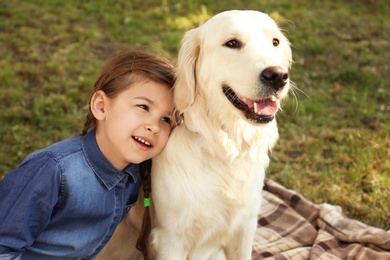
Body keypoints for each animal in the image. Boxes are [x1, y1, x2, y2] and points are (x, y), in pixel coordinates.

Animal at [97, 9, 292, 258]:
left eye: (275, 42)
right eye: (232, 43)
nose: (278, 76)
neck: (225, 149)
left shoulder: (245, 228)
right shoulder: (171, 238)